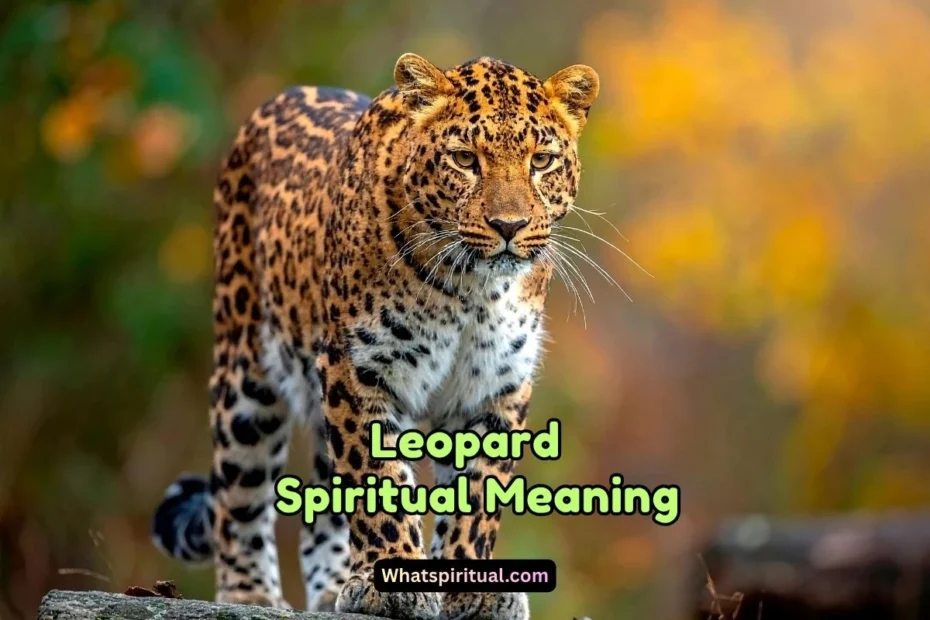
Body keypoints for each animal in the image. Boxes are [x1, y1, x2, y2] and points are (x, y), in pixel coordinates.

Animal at [152, 53, 599, 620]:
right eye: (465, 159)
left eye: (541, 161)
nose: (509, 225)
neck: (473, 287)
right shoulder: (359, 368)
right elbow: (378, 480)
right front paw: (393, 580)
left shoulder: (495, 384)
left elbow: (478, 495)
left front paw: (470, 589)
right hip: (246, 371)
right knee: (238, 494)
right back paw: (249, 593)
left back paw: (331, 588)